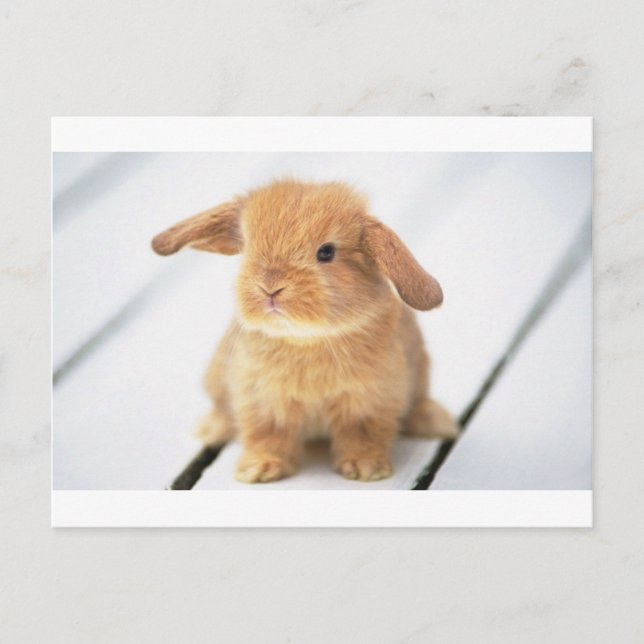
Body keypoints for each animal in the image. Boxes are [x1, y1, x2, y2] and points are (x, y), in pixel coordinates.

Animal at [152, 179, 458, 483]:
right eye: (248, 247)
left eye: (326, 252)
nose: (270, 288)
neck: (306, 339)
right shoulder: (263, 400)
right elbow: (267, 435)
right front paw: (258, 470)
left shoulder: (369, 400)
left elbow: (363, 434)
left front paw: (366, 468)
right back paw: (210, 429)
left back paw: (436, 422)